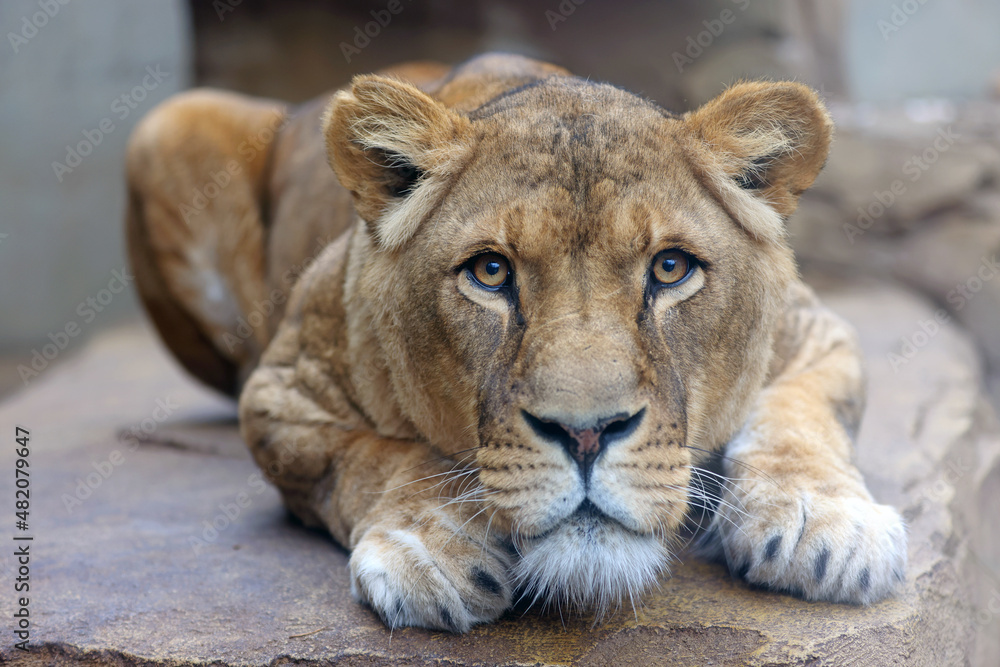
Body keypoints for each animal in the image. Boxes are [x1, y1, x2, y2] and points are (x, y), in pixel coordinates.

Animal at [125, 53, 907, 632]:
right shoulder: (280, 389)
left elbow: (798, 415)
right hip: (166, 125)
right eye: (490, 272)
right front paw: (431, 543)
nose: (587, 434)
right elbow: (370, 456)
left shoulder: (817, 334)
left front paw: (825, 523)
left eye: (670, 268)